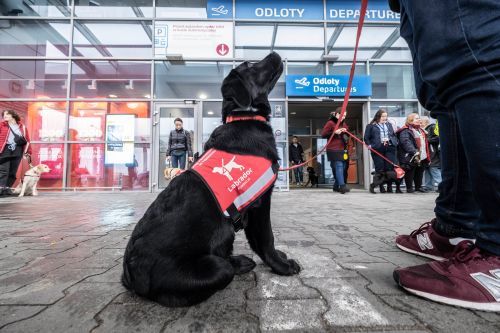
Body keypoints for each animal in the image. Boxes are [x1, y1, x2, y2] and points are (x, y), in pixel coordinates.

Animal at [122, 52, 298, 306]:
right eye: (250, 65)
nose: (275, 54)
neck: (244, 118)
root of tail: (131, 273)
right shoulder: (261, 202)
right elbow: (266, 239)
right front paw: (282, 266)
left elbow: (260, 240)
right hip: (213, 267)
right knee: (222, 268)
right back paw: (239, 263)